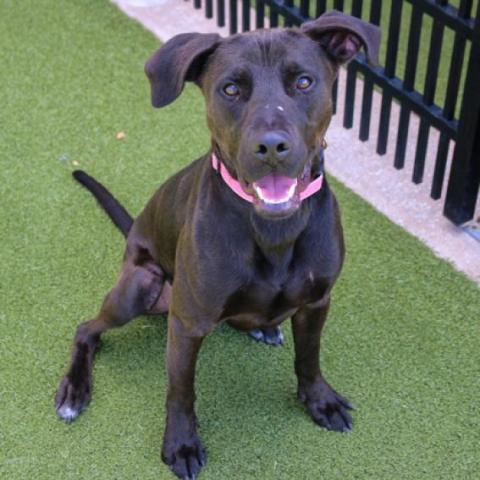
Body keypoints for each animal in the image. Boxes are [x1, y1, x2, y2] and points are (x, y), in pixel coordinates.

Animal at [55, 12, 378, 480]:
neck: (273, 229)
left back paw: (264, 327)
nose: (271, 147)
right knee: (87, 330)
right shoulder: (187, 324)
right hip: (140, 286)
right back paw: (74, 391)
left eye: (303, 82)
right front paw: (181, 444)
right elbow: (180, 390)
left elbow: (310, 358)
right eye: (230, 89)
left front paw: (319, 401)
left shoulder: (317, 303)